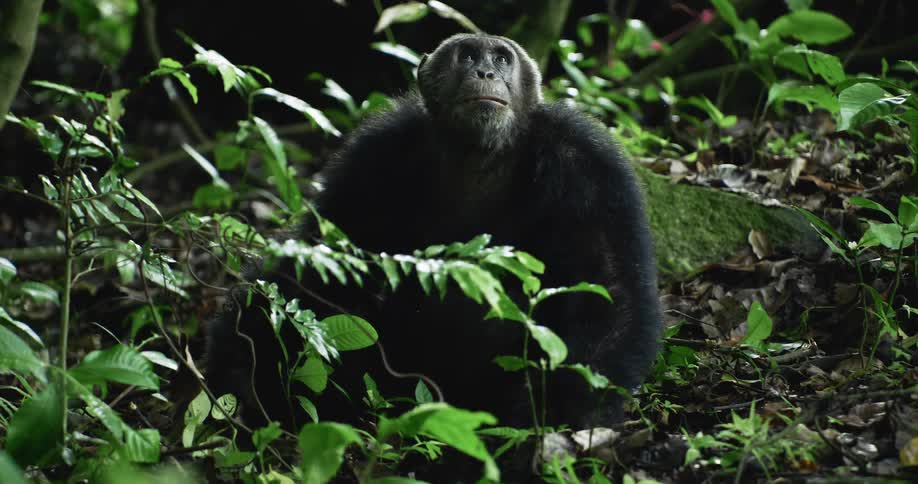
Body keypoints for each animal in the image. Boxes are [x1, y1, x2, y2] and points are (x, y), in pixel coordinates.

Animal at [206, 33, 661, 434]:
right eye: (468, 55)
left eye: (501, 58)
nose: (483, 71)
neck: (481, 156)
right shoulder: (374, 157)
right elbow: (321, 260)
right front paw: (240, 364)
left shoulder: (586, 165)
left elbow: (608, 286)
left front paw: (565, 413)